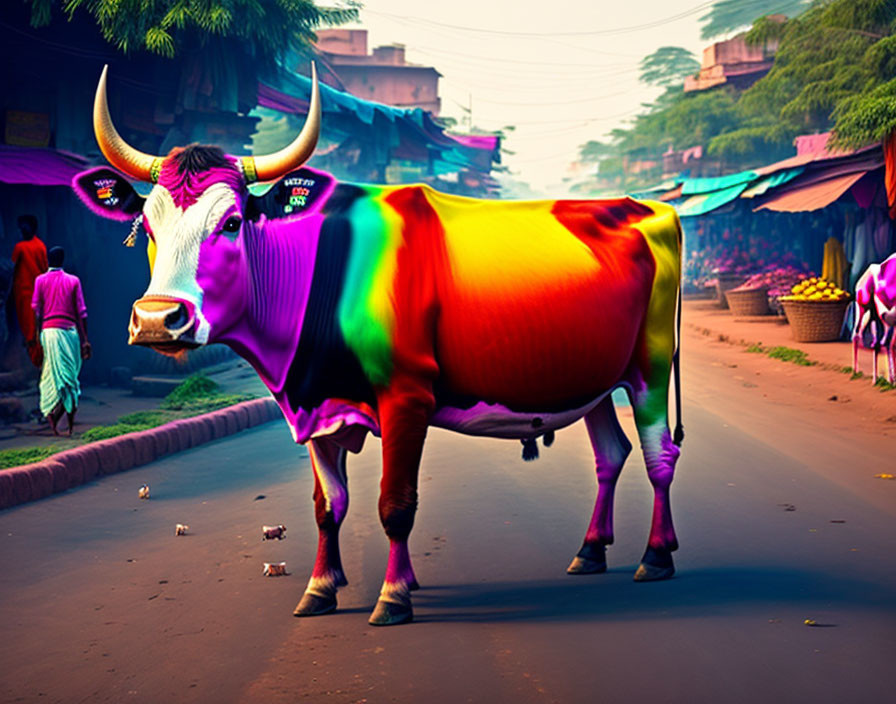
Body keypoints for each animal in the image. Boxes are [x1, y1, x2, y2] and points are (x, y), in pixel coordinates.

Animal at [75, 67, 688, 628]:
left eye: (229, 223)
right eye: (147, 226)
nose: (158, 320)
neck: (320, 271)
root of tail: (649, 208)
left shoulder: (406, 397)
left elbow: (395, 503)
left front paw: (394, 596)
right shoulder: (316, 402)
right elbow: (328, 507)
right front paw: (321, 588)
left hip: (651, 370)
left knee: (659, 456)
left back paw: (657, 557)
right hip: (594, 380)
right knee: (611, 454)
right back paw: (590, 550)